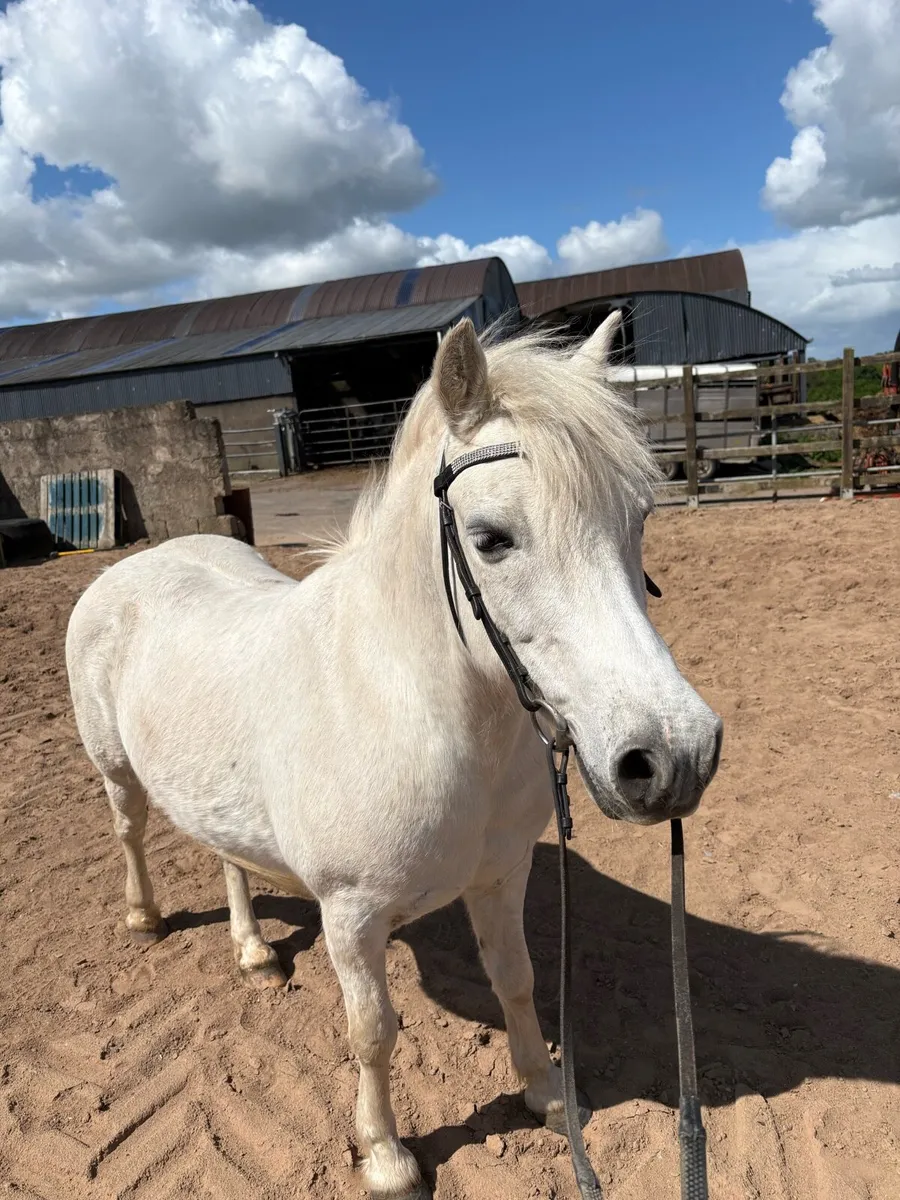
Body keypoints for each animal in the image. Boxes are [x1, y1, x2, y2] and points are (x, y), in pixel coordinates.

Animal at [66, 312, 723, 1199]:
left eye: (640, 519)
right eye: (491, 539)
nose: (674, 757)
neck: (407, 707)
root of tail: (140, 562)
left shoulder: (501, 875)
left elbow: (518, 980)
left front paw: (547, 1096)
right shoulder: (351, 915)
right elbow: (372, 1031)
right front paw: (386, 1156)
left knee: (226, 857)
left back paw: (253, 953)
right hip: (117, 771)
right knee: (130, 832)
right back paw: (145, 919)